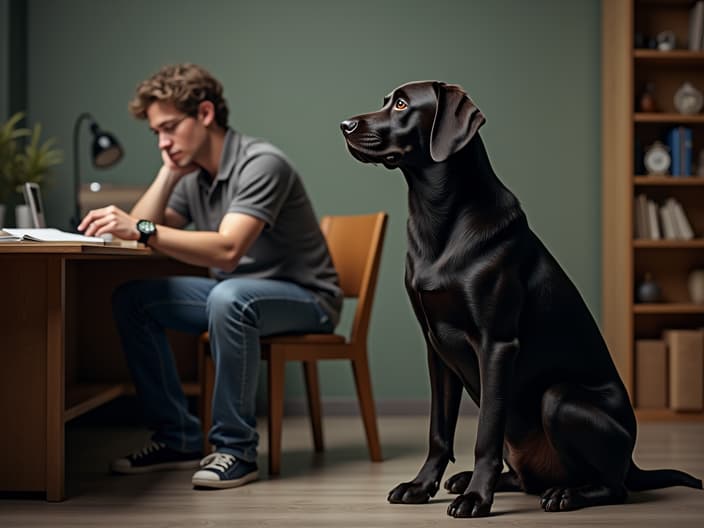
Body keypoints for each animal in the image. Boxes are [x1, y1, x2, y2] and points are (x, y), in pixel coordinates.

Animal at [338, 80, 700, 516]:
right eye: (385, 101)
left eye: (403, 104)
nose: (344, 125)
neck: (437, 218)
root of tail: (633, 462)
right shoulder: (436, 347)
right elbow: (438, 432)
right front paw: (422, 486)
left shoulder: (496, 344)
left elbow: (485, 434)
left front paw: (477, 498)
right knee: (528, 477)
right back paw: (472, 480)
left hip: (560, 400)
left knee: (613, 486)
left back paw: (565, 494)